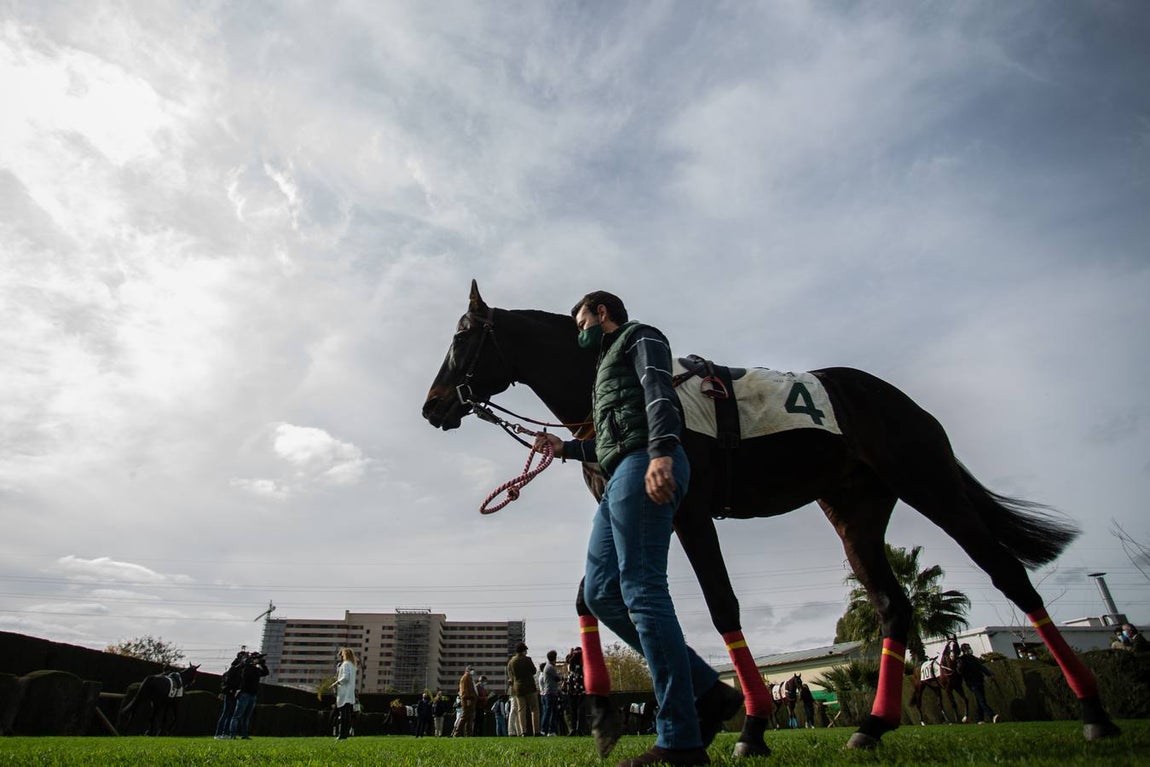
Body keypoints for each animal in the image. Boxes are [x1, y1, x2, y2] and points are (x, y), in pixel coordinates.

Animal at [421, 281, 1120, 754]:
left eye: (459, 337)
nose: (431, 407)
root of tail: (899, 397)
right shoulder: (625, 518)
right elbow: (590, 600)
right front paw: (607, 718)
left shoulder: (688, 512)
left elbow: (721, 604)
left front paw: (750, 724)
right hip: (855, 512)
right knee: (893, 606)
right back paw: (871, 726)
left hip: (930, 484)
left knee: (1009, 575)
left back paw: (1094, 711)